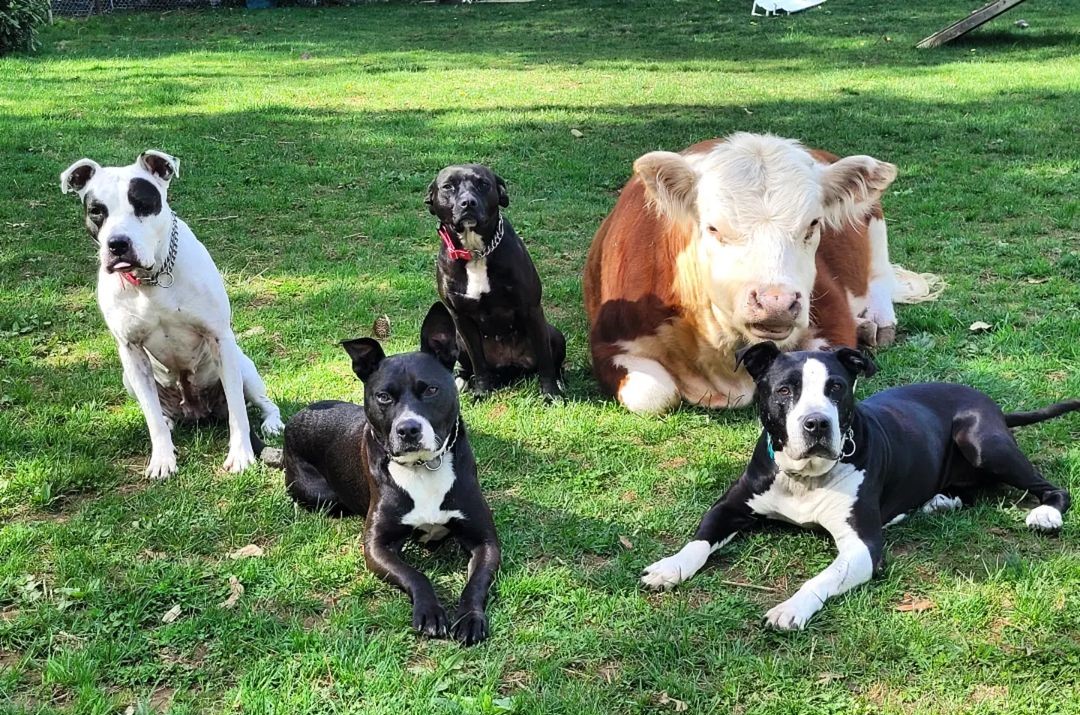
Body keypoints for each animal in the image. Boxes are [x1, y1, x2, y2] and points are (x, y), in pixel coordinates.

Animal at [60, 150, 282, 481]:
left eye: (142, 204)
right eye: (97, 211)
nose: (118, 243)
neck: (152, 279)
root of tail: (196, 410)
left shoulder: (219, 338)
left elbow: (238, 413)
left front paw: (241, 455)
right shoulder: (130, 350)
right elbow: (151, 416)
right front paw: (162, 459)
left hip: (243, 367)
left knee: (260, 403)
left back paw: (272, 423)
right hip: (129, 378)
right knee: (159, 411)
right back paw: (168, 421)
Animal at [278, 304, 496, 648]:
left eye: (431, 389)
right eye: (383, 397)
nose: (408, 429)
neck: (422, 467)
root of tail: (299, 414)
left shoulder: (485, 540)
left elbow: (476, 582)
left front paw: (470, 618)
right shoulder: (376, 546)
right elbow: (416, 575)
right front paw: (430, 611)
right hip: (318, 494)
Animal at [427, 164, 570, 403]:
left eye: (483, 184)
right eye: (448, 187)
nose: (468, 202)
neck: (476, 252)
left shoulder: (532, 309)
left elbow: (545, 360)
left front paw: (551, 394)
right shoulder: (460, 317)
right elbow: (479, 364)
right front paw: (481, 392)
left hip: (555, 334)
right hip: (459, 340)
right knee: (470, 367)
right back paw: (462, 381)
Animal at [587, 133, 924, 414]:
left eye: (813, 224)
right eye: (713, 227)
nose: (776, 303)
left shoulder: (833, 322)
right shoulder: (609, 341)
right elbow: (653, 394)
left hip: (874, 221)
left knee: (879, 277)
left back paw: (876, 323)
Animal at [639, 347, 1071, 635]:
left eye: (836, 387)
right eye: (784, 391)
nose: (816, 423)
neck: (804, 477)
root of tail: (992, 405)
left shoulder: (862, 547)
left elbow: (820, 579)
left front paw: (791, 608)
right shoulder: (731, 506)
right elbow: (698, 541)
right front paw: (669, 567)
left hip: (982, 440)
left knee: (1052, 488)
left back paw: (1046, 514)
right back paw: (940, 500)